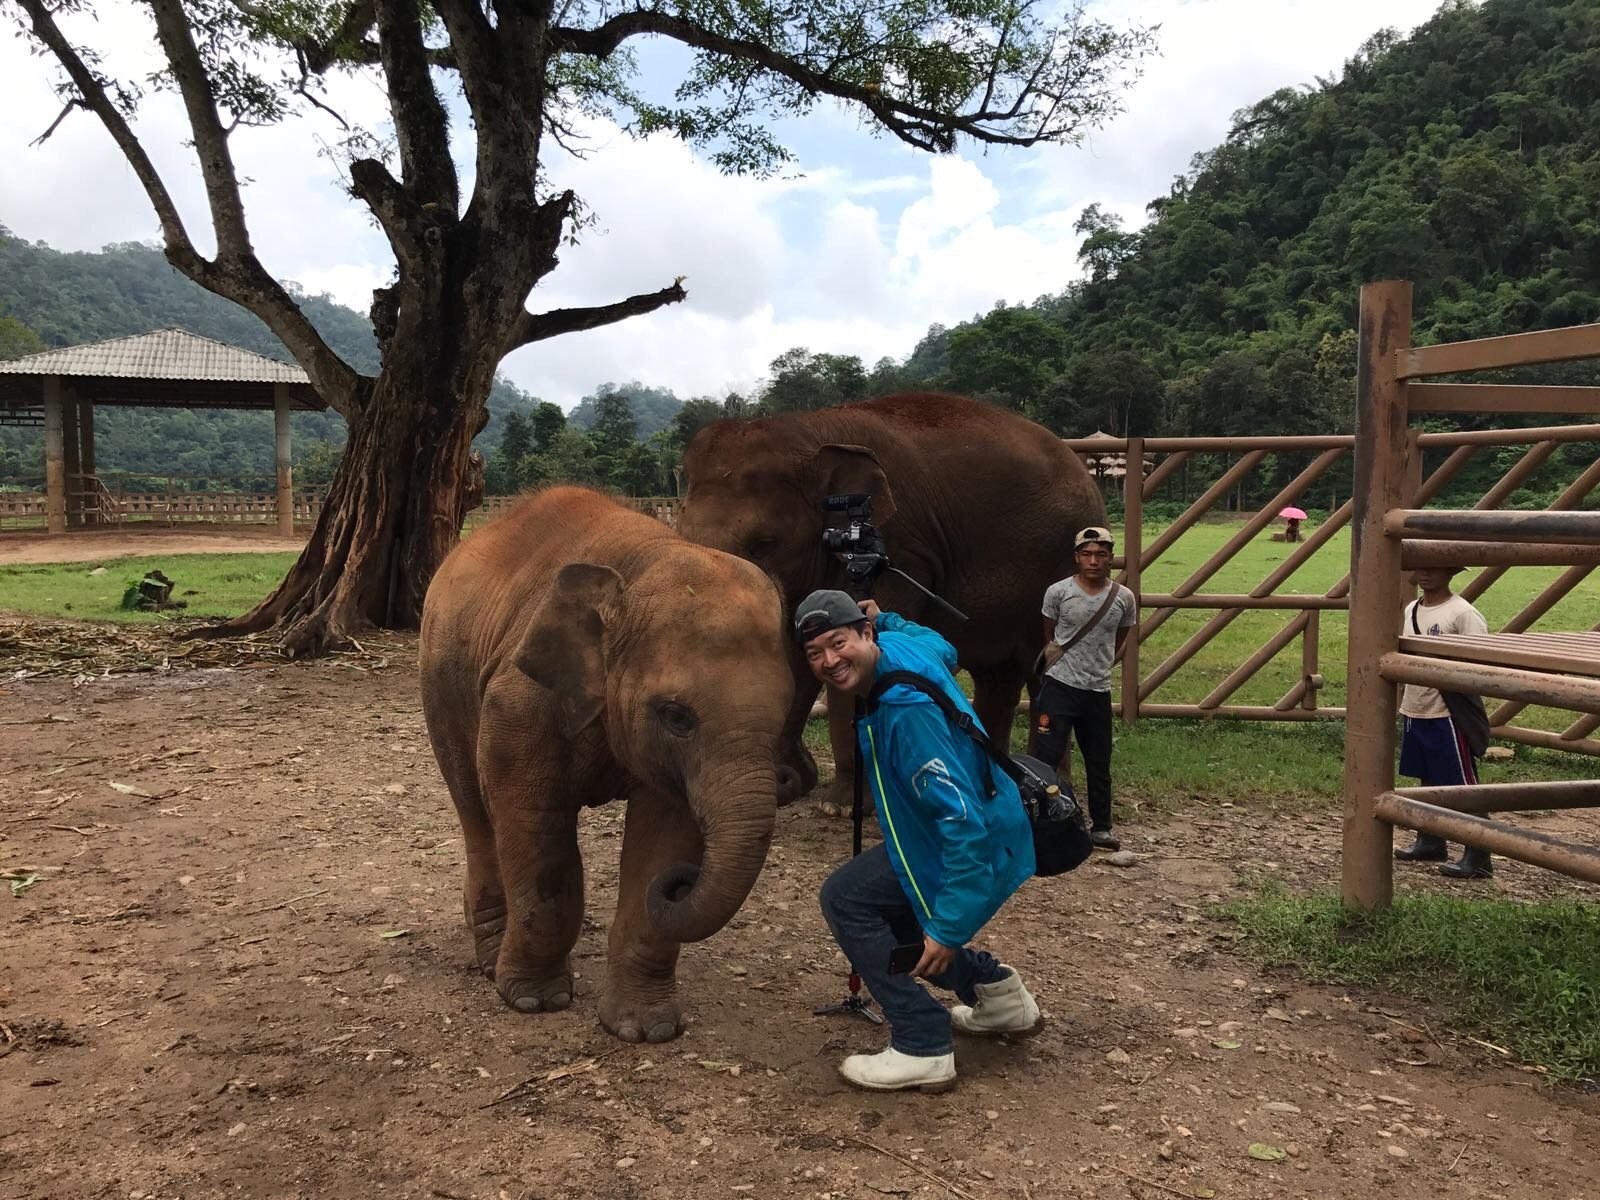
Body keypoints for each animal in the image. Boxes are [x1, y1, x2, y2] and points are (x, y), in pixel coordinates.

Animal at [419, 487, 795, 1042]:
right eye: (676, 716)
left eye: (786, 713)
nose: (683, 884)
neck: (641, 561)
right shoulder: (521, 700)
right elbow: (534, 824)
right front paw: (534, 1001)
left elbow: (663, 835)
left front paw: (646, 1030)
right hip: (440, 681)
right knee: (474, 807)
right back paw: (490, 960)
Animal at [677, 391, 1105, 809]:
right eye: (678, 531)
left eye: (764, 544)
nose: (785, 779)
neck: (809, 429)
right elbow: (797, 649)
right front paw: (792, 784)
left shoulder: (901, 551)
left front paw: (843, 805)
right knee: (997, 677)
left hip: (1056, 573)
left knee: (1043, 675)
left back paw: (1051, 784)